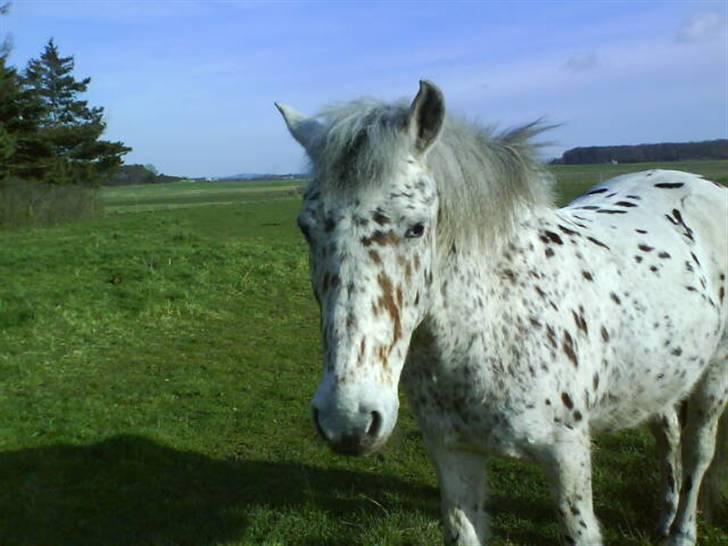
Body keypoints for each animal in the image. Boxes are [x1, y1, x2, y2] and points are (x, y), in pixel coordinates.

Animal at [275, 81, 728, 546]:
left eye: (416, 227)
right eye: (307, 227)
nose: (347, 421)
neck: (494, 329)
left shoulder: (568, 457)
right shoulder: (454, 455)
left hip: (714, 375)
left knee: (697, 452)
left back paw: (682, 531)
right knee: (667, 434)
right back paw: (664, 518)